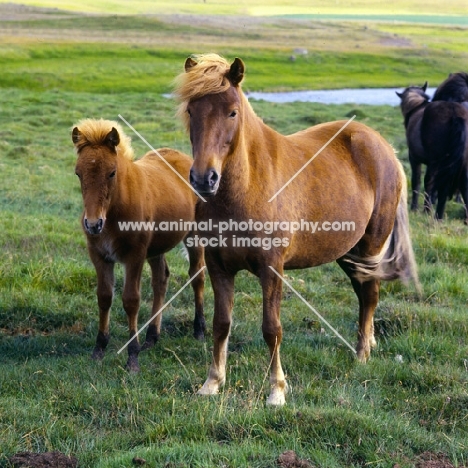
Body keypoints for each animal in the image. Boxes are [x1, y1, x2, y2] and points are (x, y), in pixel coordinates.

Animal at [396, 81, 468, 223]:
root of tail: (454, 112)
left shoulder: (415, 158)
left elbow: (418, 181)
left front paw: (417, 208)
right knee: (463, 185)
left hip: (439, 162)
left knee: (440, 185)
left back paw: (436, 215)